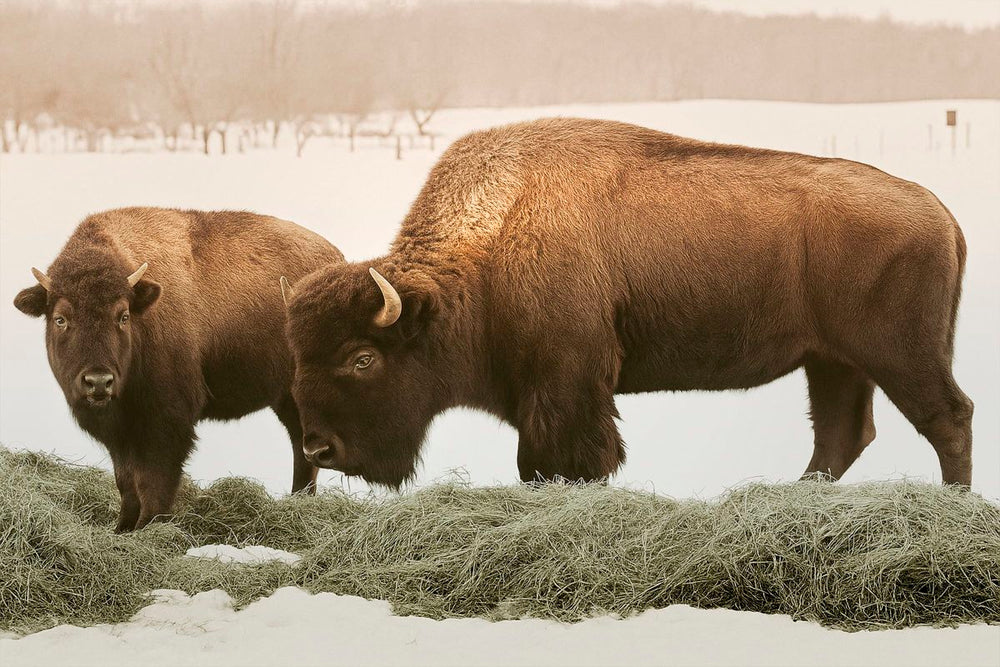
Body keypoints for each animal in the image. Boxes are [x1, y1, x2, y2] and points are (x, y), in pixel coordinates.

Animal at [14, 207, 344, 531]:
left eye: (123, 316)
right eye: (60, 319)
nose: (98, 382)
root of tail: (337, 259)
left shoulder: (166, 421)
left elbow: (154, 480)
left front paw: (149, 525)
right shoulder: (121, 432)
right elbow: (126, 481)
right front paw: (122, 527)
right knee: (302, 444)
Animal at [283, 118, 972, 489]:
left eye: (363, 358)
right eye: (299, 359)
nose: (318, 451)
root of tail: (939, 212)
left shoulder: (566, 386)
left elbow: (565, 459)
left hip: (899, 355)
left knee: (949, 418)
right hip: (833, 362)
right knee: (841, 436)